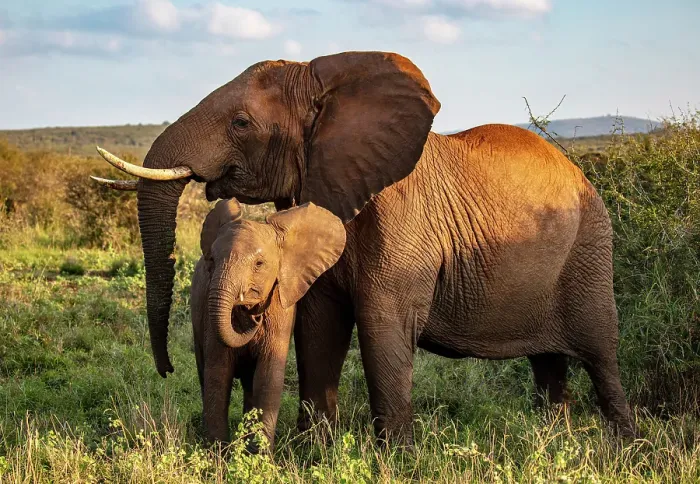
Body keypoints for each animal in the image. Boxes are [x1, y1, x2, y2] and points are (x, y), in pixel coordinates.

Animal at [190, 197, 345, 448]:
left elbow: (268, 376)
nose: (256, 317)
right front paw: (216, 454)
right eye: (212, 260)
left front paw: (258, 455)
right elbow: (217, 373)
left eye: (259, 264)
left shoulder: (281, 308)